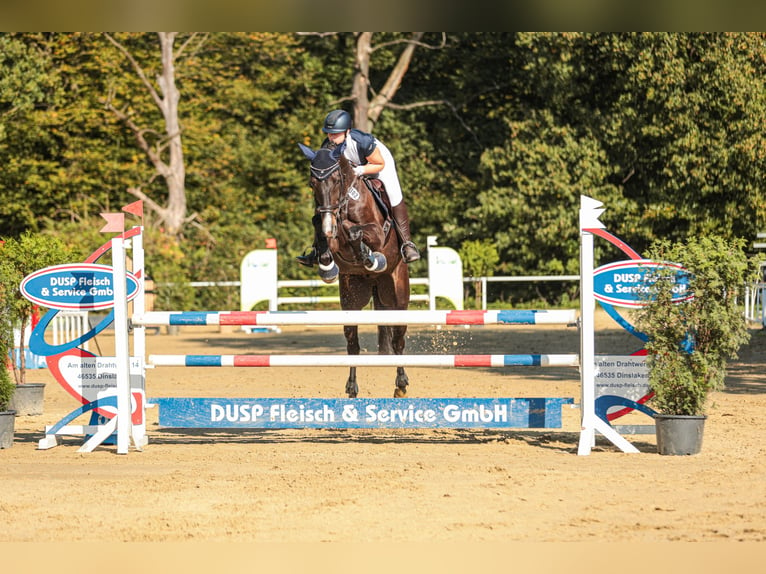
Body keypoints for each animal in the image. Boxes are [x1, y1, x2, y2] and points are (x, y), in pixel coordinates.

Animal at [298, 142, 412, 398]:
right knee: (353, 345)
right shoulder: (329, 232)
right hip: (352, 298)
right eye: (312, 183)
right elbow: (322, 233)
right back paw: (351, 387)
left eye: (336, 180)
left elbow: (355, 231)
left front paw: (370, 257)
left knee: (398, 341)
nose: (329, 225)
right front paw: (327, 266)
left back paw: (401, 384)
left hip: (398, 294)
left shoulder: (377, 234)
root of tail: (375, 282)